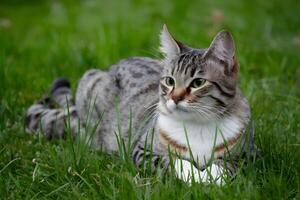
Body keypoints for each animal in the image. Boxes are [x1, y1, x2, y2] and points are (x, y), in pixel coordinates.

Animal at [24, 25, 256, 186]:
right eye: (170, 81)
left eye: (198, 82)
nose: (175, 98)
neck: (197, 126)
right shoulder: (142, 149)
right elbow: (174, 162)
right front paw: (195, 179)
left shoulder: (248, 155)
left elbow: (225, 168)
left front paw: (209, 178)